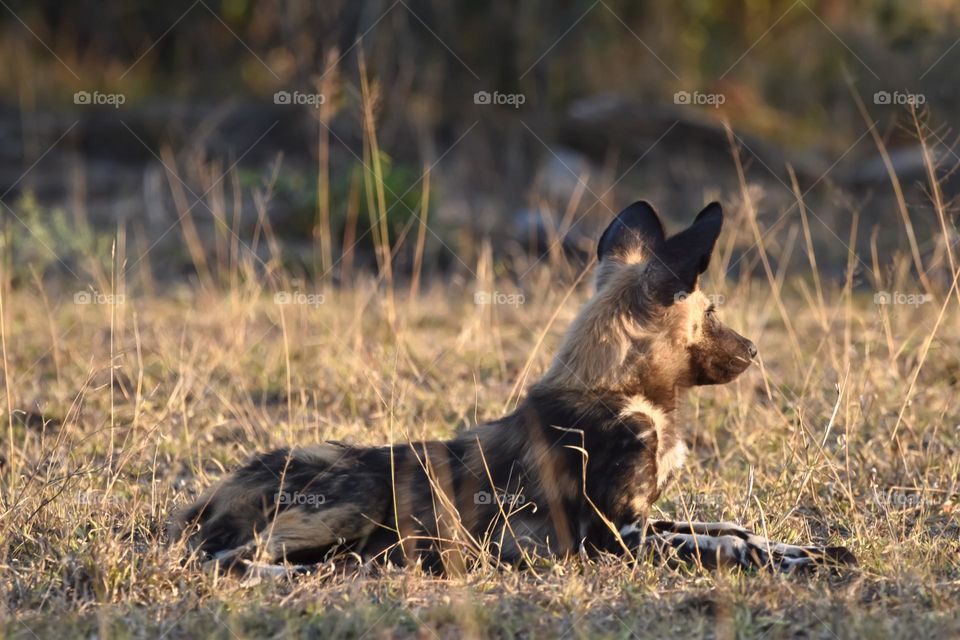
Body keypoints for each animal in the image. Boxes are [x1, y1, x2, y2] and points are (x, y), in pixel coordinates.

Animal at [169, 201, 852, 576]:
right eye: (711, 314)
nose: (753, 349)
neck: (618, 392)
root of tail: (218, 490)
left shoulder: (644, 519)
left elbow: (731, 529)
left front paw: (810, 550)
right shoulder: (611, 539)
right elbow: (719, 546)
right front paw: (792, 562)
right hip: (353, 501)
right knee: (232, 563)